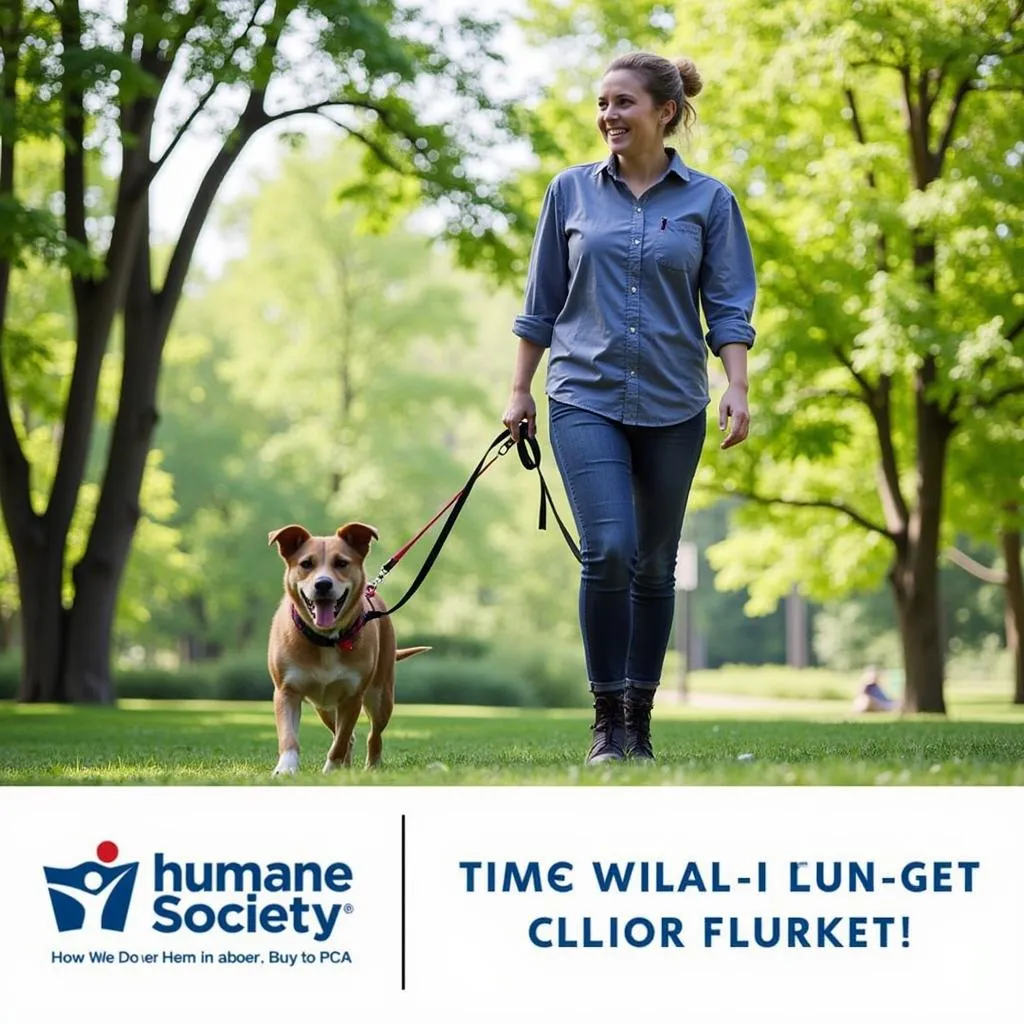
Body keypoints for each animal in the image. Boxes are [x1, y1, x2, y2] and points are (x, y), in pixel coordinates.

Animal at [268, 524, 428, 770]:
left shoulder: (353, 696)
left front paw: (331, 769)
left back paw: (371, 766)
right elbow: (289, 737)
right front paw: (286, 769)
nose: (323, 584)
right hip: (324, 707)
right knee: (346, 735)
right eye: (306, 564)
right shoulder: (286, 690)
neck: (327, 639)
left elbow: (341, 742)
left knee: (372, 735)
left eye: (341, 563)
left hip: (381, 695)